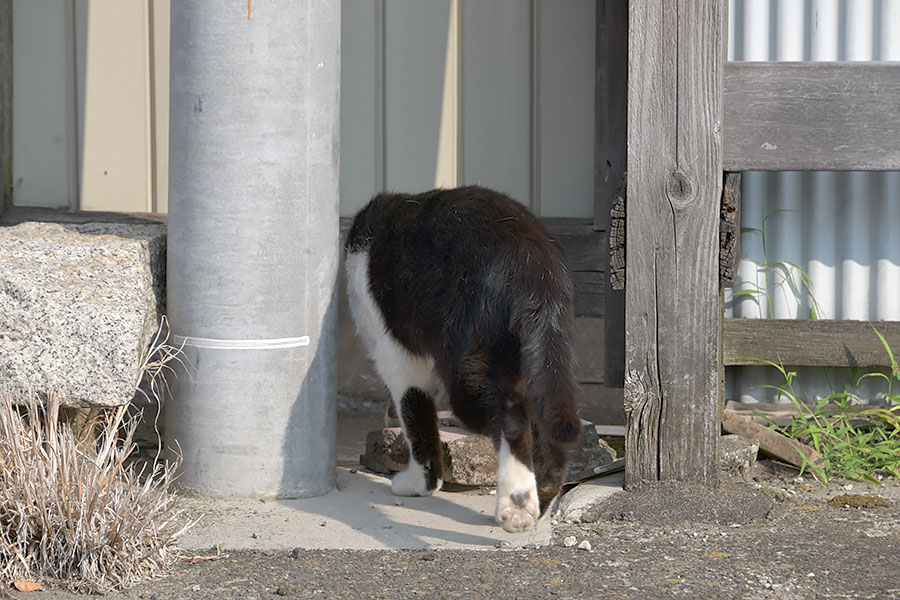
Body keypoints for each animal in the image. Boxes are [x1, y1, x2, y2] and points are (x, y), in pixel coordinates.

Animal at [344, 185, 584, 532]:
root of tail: (532, 264)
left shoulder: (398, 359)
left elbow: (416, 419)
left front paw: (420, 484)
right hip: (540, 360)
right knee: (542, 422)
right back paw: (541, 497)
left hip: (468, 370)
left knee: (512, 414)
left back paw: (517, 502)